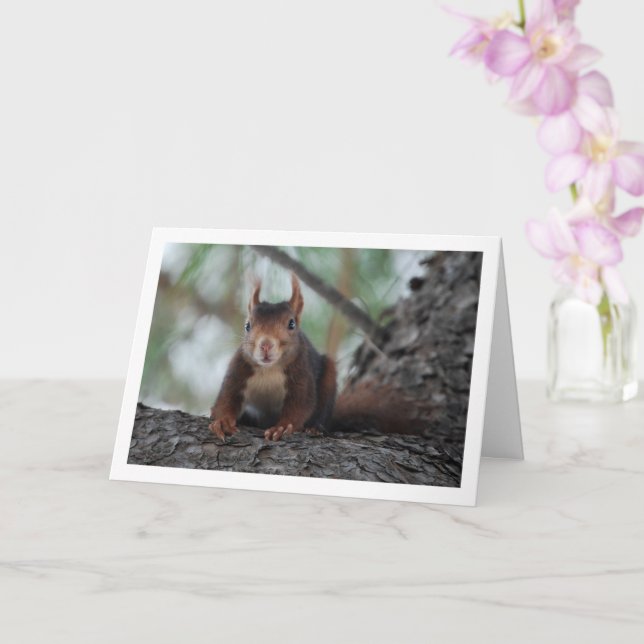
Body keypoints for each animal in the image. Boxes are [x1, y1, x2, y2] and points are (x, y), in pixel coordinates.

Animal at [209, 274, 337, 442]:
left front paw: (281, 427)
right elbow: (226, 398)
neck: (269, 369)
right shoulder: (238, 370)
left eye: (291, 324)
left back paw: (315, 428)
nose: (266, 345)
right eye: (247, 326)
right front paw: (222, 422)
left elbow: (300, 406)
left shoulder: (301, 375)